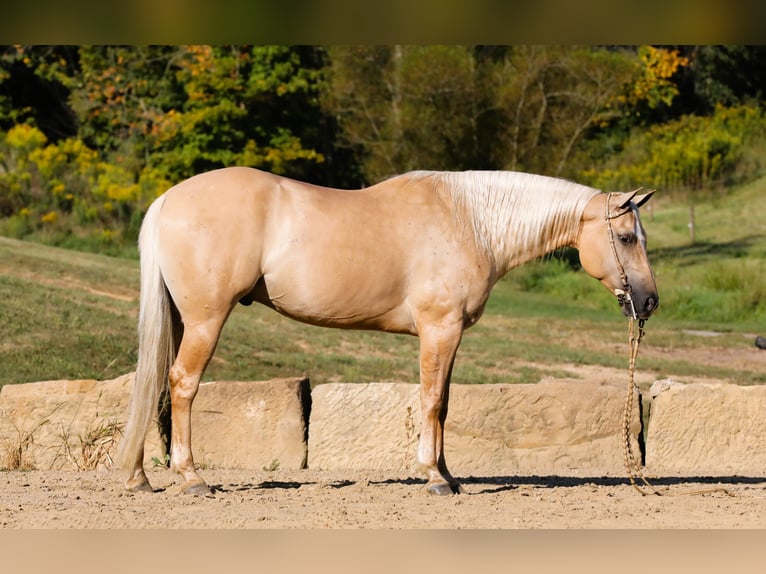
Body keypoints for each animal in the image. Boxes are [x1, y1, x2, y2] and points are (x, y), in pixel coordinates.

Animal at [117, 165, 656, 496]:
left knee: (153, 382)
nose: (648, 301)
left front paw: (448, 475)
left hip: (181, 319)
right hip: (206, 320)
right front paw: (433, 477)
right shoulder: (440, 330)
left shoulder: (450, 336)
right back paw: (190, 478)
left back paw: (140, 477)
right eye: (626, 237)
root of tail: (168, 199)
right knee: (182, 384)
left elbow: (444, 404)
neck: (470, 222)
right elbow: (432, 401)